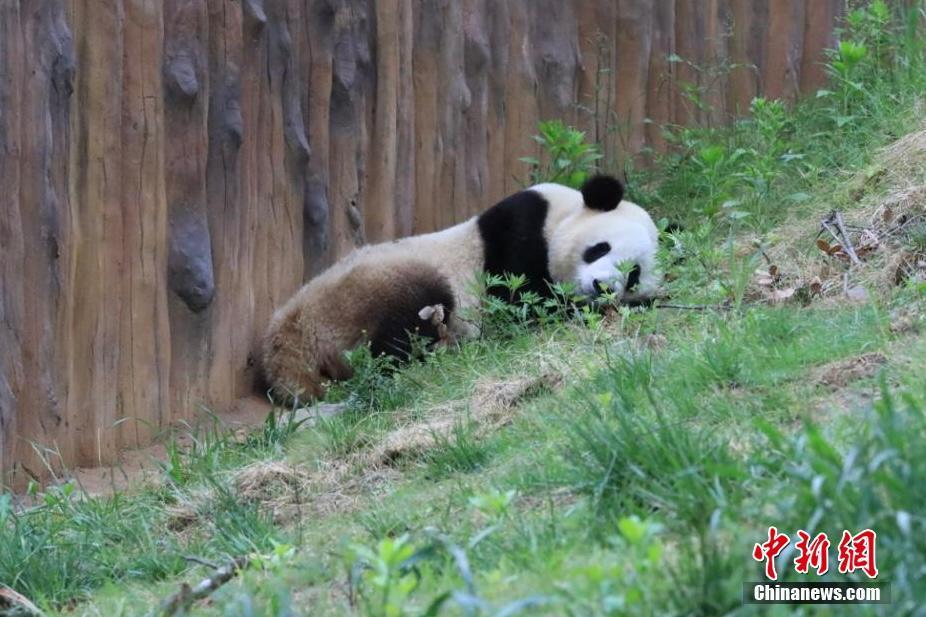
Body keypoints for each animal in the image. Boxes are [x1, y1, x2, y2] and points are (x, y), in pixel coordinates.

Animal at [262, 176, 660, 402]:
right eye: (600, 248)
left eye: (633, 274)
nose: (601, 287)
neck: (559, 216)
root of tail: (285, 345)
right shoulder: (518, 230)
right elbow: (524, 301)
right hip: (359, 294)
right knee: (403, 326)